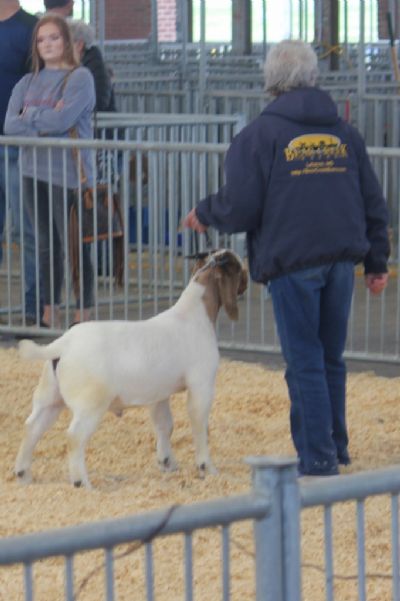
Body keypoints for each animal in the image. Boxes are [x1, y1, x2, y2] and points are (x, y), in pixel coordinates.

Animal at [14, 248, 247, 488]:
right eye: (238, 268)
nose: (246, 281)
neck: (193, 315)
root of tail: (64, 344)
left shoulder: (159, 394)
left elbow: (165, 425)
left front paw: (168, 463)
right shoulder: (201, 384)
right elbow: (200, 425)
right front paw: (207, 468)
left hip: (50, 397)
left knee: (32, 427)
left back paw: (24, 474)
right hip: (90, 403)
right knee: (75, 436)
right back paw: (82, 482)